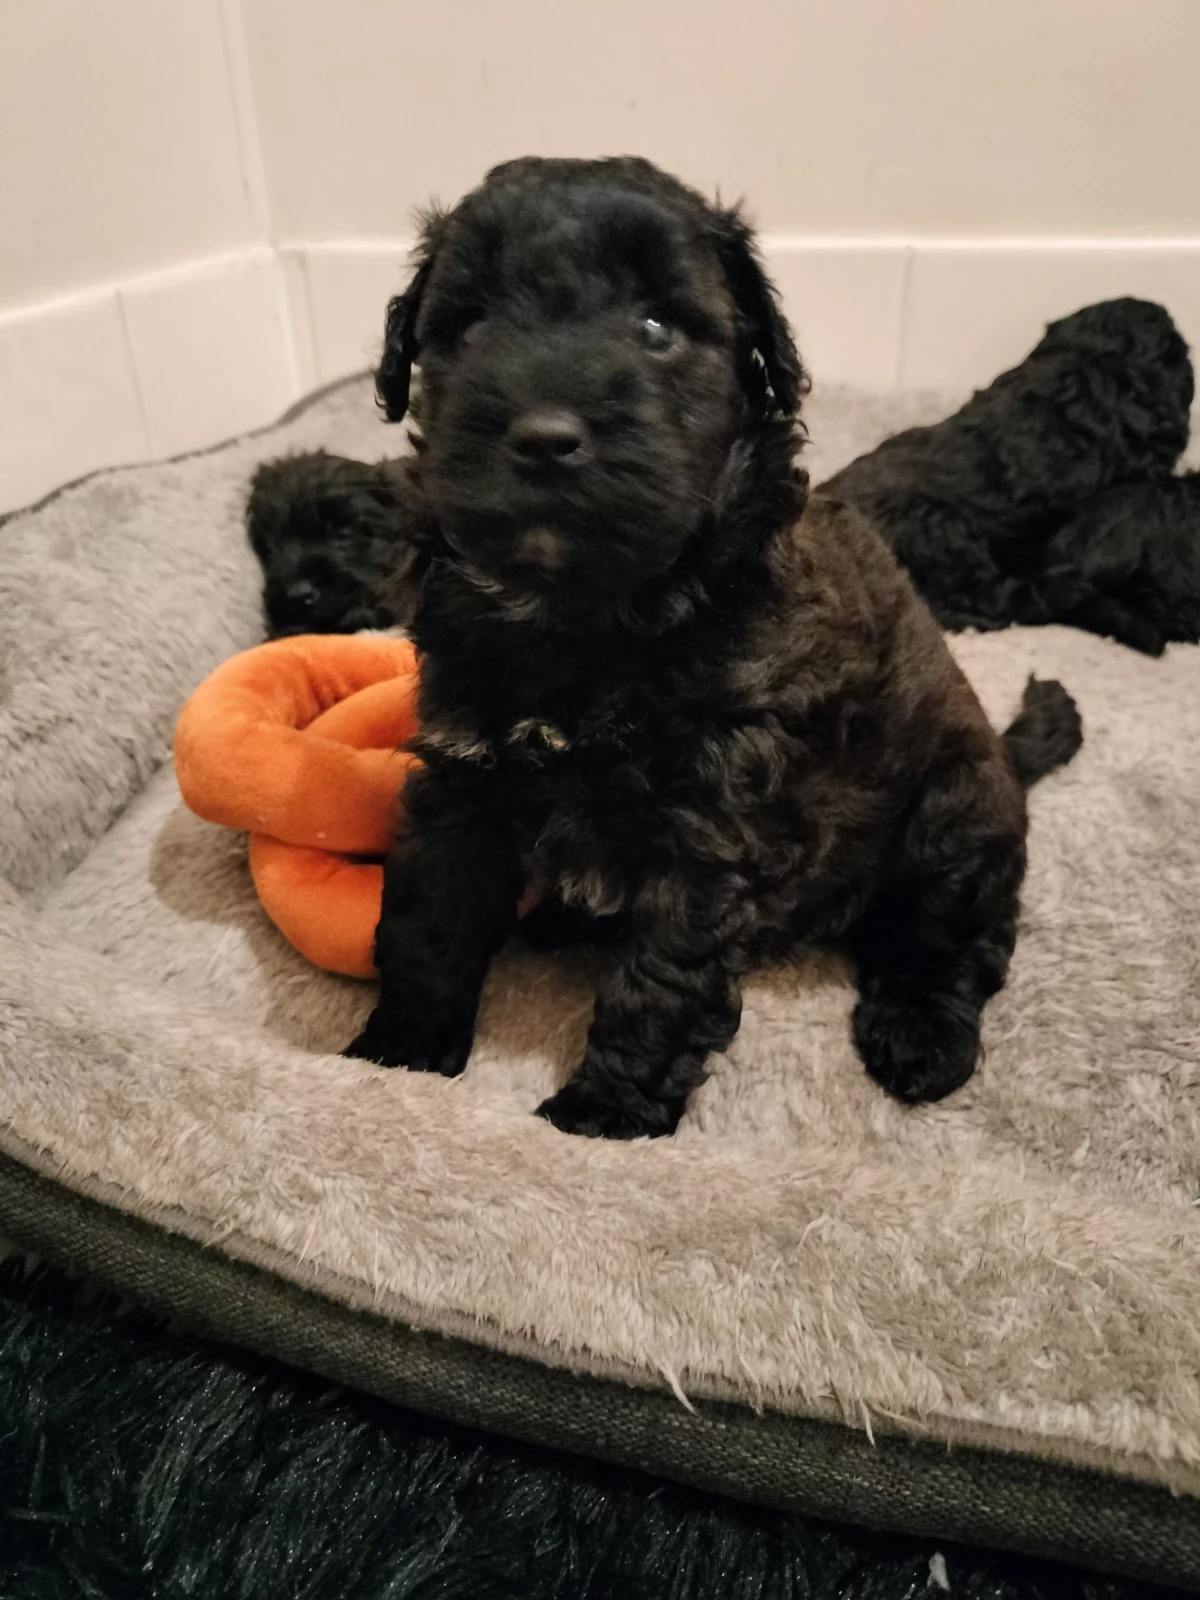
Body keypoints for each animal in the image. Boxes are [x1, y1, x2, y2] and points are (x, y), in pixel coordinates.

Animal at [252, 156, 1081, 1138]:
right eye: (471, 325)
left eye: (657, 329)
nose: (544, 438)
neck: (588, 615)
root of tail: (1003, 750)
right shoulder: (462, 775)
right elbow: (430, 920)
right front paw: (399, 1061)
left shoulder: (711, 826)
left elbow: (660, 983)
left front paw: (601, 1120)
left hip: (953, 816)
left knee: (951, 935)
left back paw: (920, 1036)